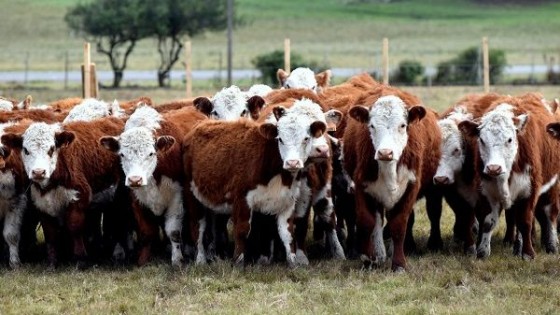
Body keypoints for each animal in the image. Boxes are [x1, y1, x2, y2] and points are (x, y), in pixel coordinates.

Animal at [184, 105, 328, 268]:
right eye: (280, 139)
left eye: (306, 138)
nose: (292, 163)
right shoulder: (242, 199)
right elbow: (242, 230)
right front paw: (238, 263)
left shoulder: (287, 201)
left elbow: (287, 234)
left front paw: (293, 263)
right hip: (192, 196)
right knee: (198, 227)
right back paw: (200, 259)